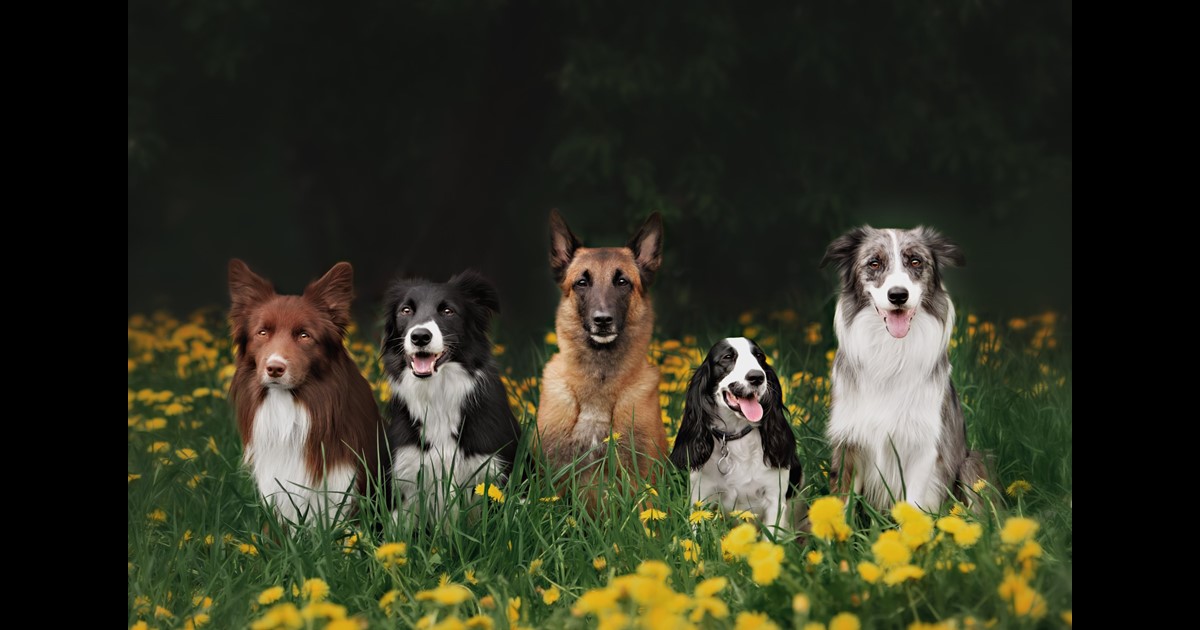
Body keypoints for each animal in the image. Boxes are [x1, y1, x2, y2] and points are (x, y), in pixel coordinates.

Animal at [537, 208, 672, 513]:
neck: (598, 385)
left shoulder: (641, 478)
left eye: (622, 282)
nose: (602, 320)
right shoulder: (554, 479)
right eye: (582, 282)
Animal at [820, 228, 988, 513]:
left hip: (971, 463)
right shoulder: (849, 443)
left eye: (916, 262)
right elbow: (841, 506)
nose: (898, 295)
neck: (891, 352)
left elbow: (913, 509)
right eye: (874, 263)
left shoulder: (923, 447)